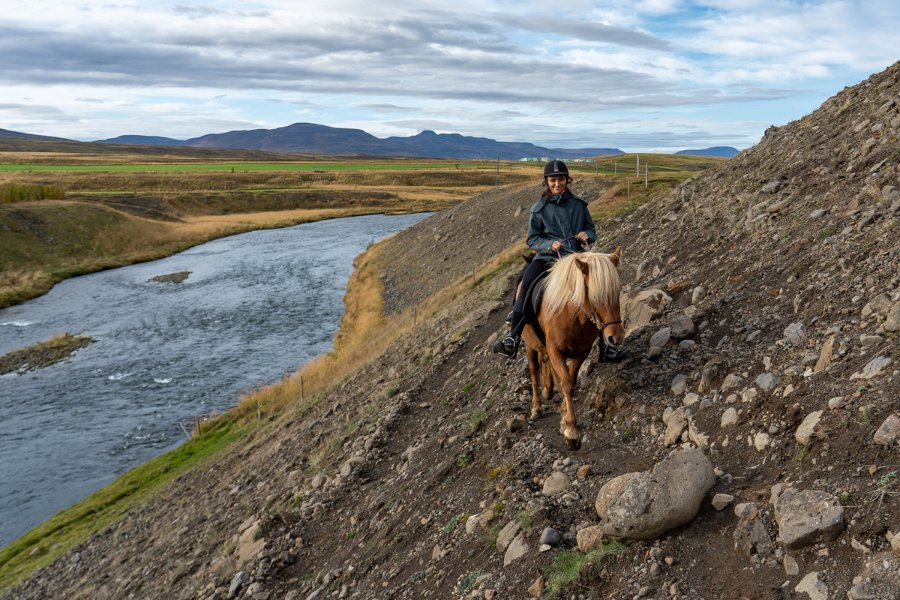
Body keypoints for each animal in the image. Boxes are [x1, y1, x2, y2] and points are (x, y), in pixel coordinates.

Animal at [524, 245, 624, 450]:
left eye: (617, 291)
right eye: (594, 296)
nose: (615, 337)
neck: (572, 315)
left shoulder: (581, 352)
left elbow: (570, 380)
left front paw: (564, 417)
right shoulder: (555, 350)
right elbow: (567, 384)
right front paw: (571, 432)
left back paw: (548, 390)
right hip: (529, 345)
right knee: (533, 371)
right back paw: (536, 407)